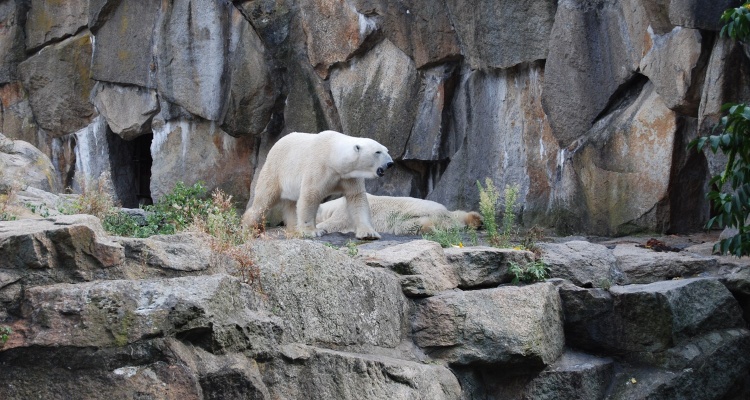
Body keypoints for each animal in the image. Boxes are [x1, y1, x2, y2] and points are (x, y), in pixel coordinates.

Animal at [242, 130, 396, 239]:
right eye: (378, 152)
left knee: (291, 204)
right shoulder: (319, 167)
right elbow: (310, 196)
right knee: (263, 201)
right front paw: (313, 232)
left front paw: (369, 233)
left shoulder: (349, 176)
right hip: (275, 170)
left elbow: (357, 198)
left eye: (386, 150)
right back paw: (247, 228)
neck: (334, 156)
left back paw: (295, 230)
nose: (390, 163)